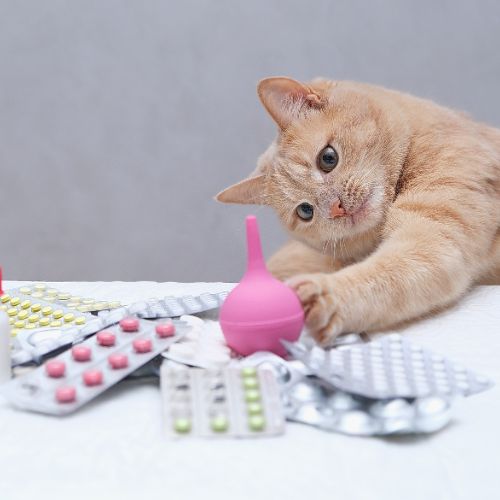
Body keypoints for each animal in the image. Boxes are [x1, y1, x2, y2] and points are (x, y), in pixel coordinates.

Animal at [217, 76, 500, 346]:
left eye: (328, 158)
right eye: (305, 211)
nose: (337, 208)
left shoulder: (436, 236)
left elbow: (388, 271)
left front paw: (327, 295)